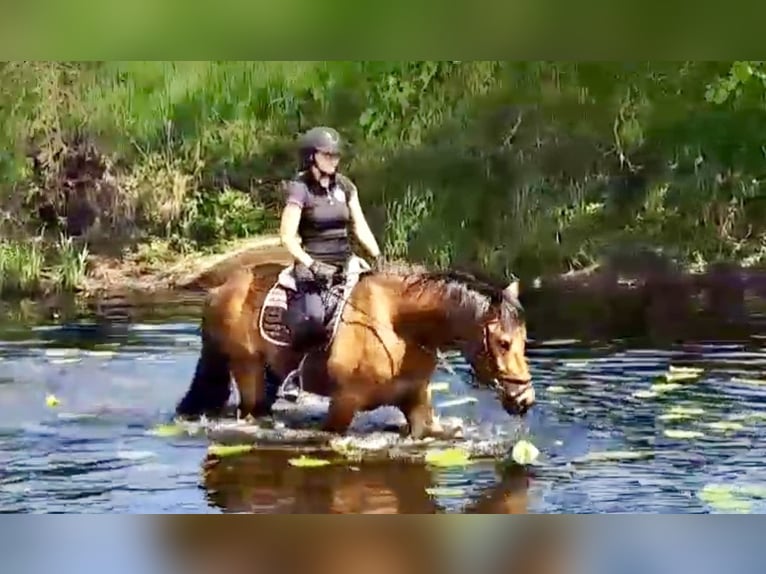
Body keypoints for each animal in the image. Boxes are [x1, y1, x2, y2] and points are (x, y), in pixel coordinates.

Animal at [174, 255, 534, 439]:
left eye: (523, 341)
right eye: (503, 343)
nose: (525, 400)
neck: (398, 326)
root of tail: (220, 289)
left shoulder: (416, 401)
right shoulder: (344, 402)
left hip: (269, 372)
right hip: (245, 367)